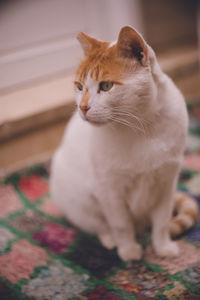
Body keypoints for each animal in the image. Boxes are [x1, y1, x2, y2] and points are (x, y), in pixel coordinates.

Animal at [50, 26, 198, 260]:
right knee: (99, 225)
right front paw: (129, 251)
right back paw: (111, 241)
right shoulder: (110, 190)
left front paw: (162, 248)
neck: (143, 127)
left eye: (106, 85)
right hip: (78, 202)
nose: (82, 107)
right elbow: (121, 225)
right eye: (79, 86)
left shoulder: (166, 184)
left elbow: (162, 222)